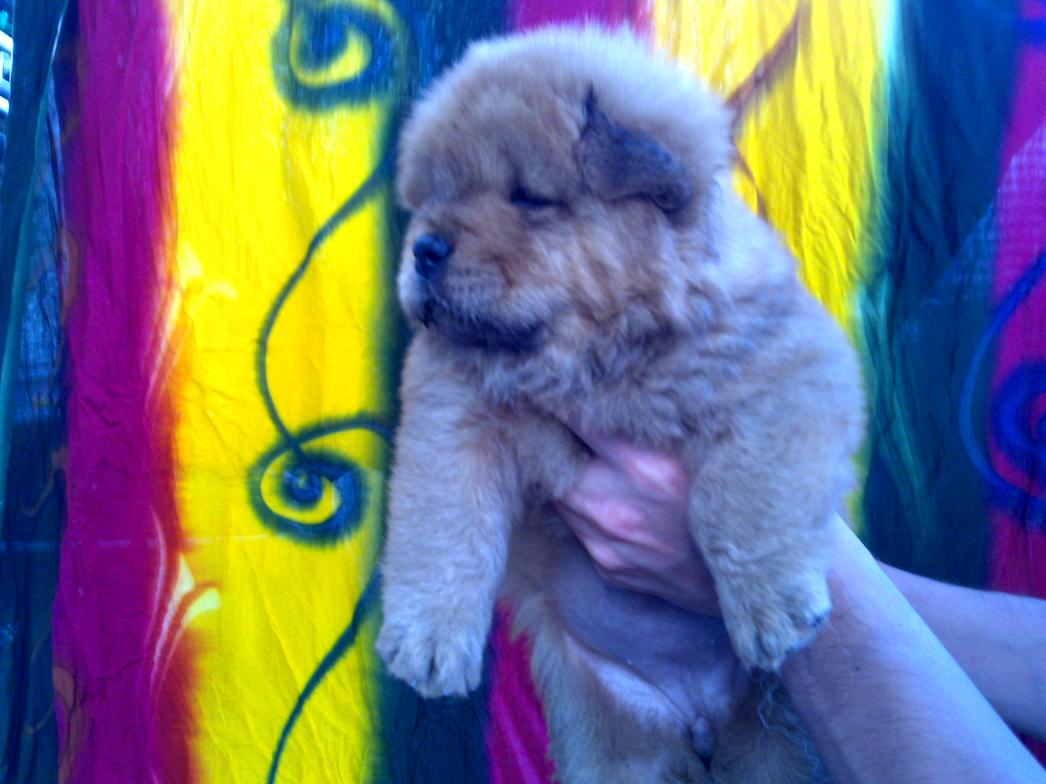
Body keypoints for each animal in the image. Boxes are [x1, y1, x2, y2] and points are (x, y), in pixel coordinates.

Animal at [376, 26, 864, 784]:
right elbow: (441, 528)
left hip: (771, 749)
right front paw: (426, 641)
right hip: (609, 744)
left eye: (528, 199)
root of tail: (694, 719)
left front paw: (775, 607)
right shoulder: (449, 419)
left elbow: (744, 493)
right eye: (430, 199)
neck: (596, 360)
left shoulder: (791, 369)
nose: (425, 248)